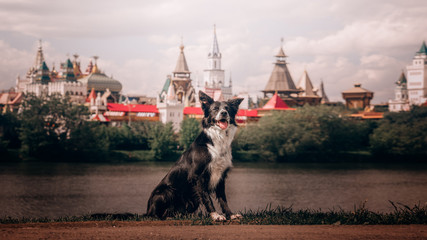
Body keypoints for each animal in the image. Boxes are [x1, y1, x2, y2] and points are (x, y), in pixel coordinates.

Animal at [145, 90, 242, 221]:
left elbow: (223, 198)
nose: (224, 113)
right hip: (166, 191)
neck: (218, 139)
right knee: (154, 215)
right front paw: (215, 215)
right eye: (215, 109)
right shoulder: (199, 175)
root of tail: (147, 209)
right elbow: (207, 198)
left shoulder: (221, 175)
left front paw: (230, 214)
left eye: (227, 109)